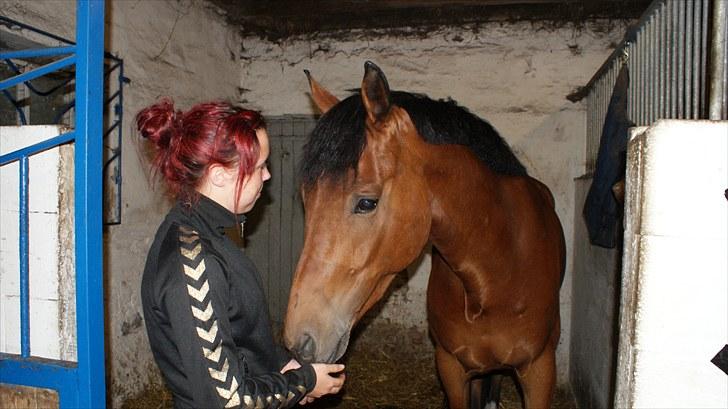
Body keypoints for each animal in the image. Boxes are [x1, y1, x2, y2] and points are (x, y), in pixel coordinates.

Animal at [282, 61, 564, 408]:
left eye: (366, 202)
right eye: (307, 201)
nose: (300, 342)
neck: (498, 269)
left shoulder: (540, 371)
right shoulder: (451, 368)